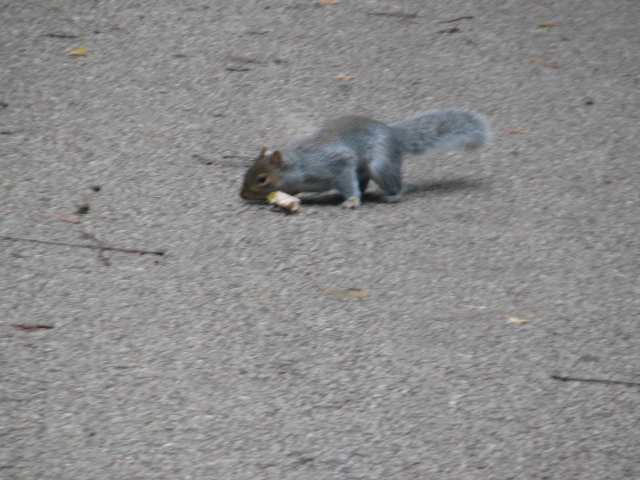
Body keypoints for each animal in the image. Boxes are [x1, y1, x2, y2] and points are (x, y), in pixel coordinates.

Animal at [240, 109, 490, 209]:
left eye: (262, 178)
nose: (242, 195)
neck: (299, 165)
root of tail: (394, 135)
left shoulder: (334, 164)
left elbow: (344, 179)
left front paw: (351, 201)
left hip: (381, 165)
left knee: (394, 183)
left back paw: (392, 195)